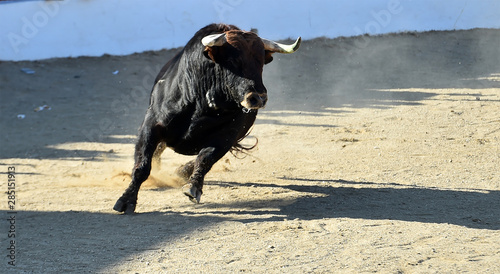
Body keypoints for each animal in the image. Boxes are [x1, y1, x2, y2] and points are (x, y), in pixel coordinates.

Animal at [113, 23, 300, 214]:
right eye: (232, 60)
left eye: (261, 62)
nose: (258, 98)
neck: (202, 101)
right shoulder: (151, 125)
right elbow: (142, 165)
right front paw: (126, 200)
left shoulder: (227, 136)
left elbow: (204, 159)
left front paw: (193, 187)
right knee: (158, 151)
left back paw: (180, 172)